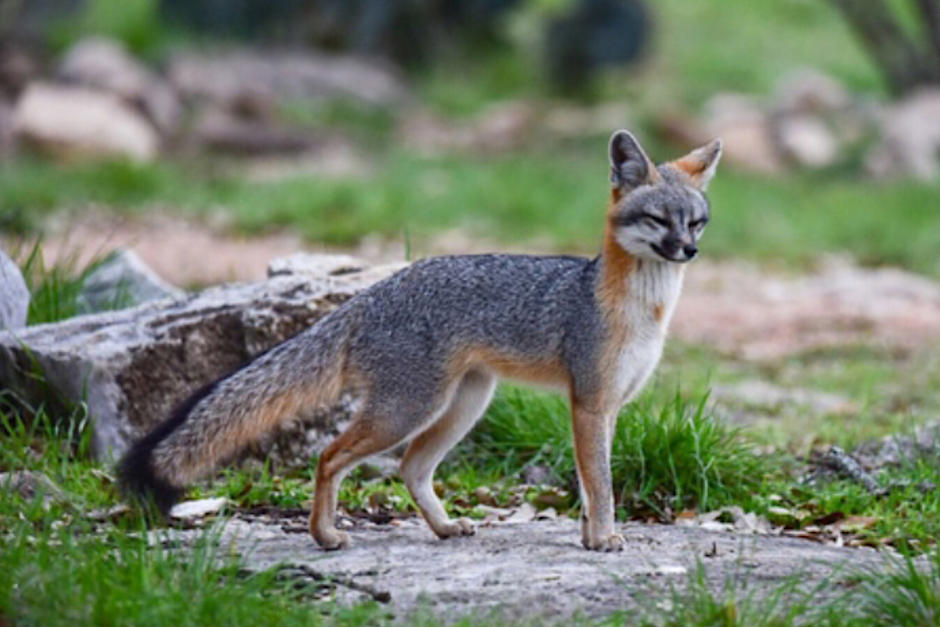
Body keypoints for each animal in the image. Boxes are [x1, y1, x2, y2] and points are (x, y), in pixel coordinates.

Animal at [119, 130, 722, 552]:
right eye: (658, 220)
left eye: (696, 223)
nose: (689, 252)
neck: (643, 308)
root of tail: (373, 291)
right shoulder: (590, 403)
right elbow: (601, 482)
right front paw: (603, 538)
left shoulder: (608, 406)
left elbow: (591, 481)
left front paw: (589, 534)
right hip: (407, 409)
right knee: (330, 457)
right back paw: (324, 536)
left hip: (462, 404)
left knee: (410, 467)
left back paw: (444, 528)